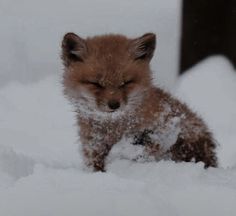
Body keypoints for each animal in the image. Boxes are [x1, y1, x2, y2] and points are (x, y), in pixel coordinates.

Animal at [60, 32, 218, 171]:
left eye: (126, 82)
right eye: (96, 83)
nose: (114, 105)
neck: (114, 130)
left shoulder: (166, 126)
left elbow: (148, 146)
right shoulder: (93, 148)